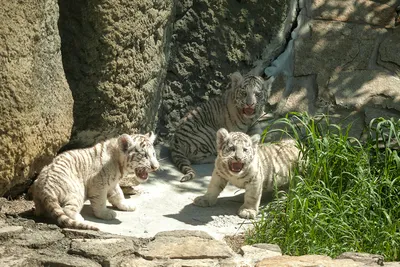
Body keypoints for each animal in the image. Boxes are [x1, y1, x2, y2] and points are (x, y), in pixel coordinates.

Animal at [30, 133, 159, 231]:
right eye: (144, 155)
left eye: (153, 154)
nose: (156, 167)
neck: (119, 164)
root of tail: (46, 188)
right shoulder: (98, 185)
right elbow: (100, 202)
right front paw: (106, 214)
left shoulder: (112, 183)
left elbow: (118, 193)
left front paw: (126, 204)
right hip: (77, 191)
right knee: (67, 210)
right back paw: (80, 219)